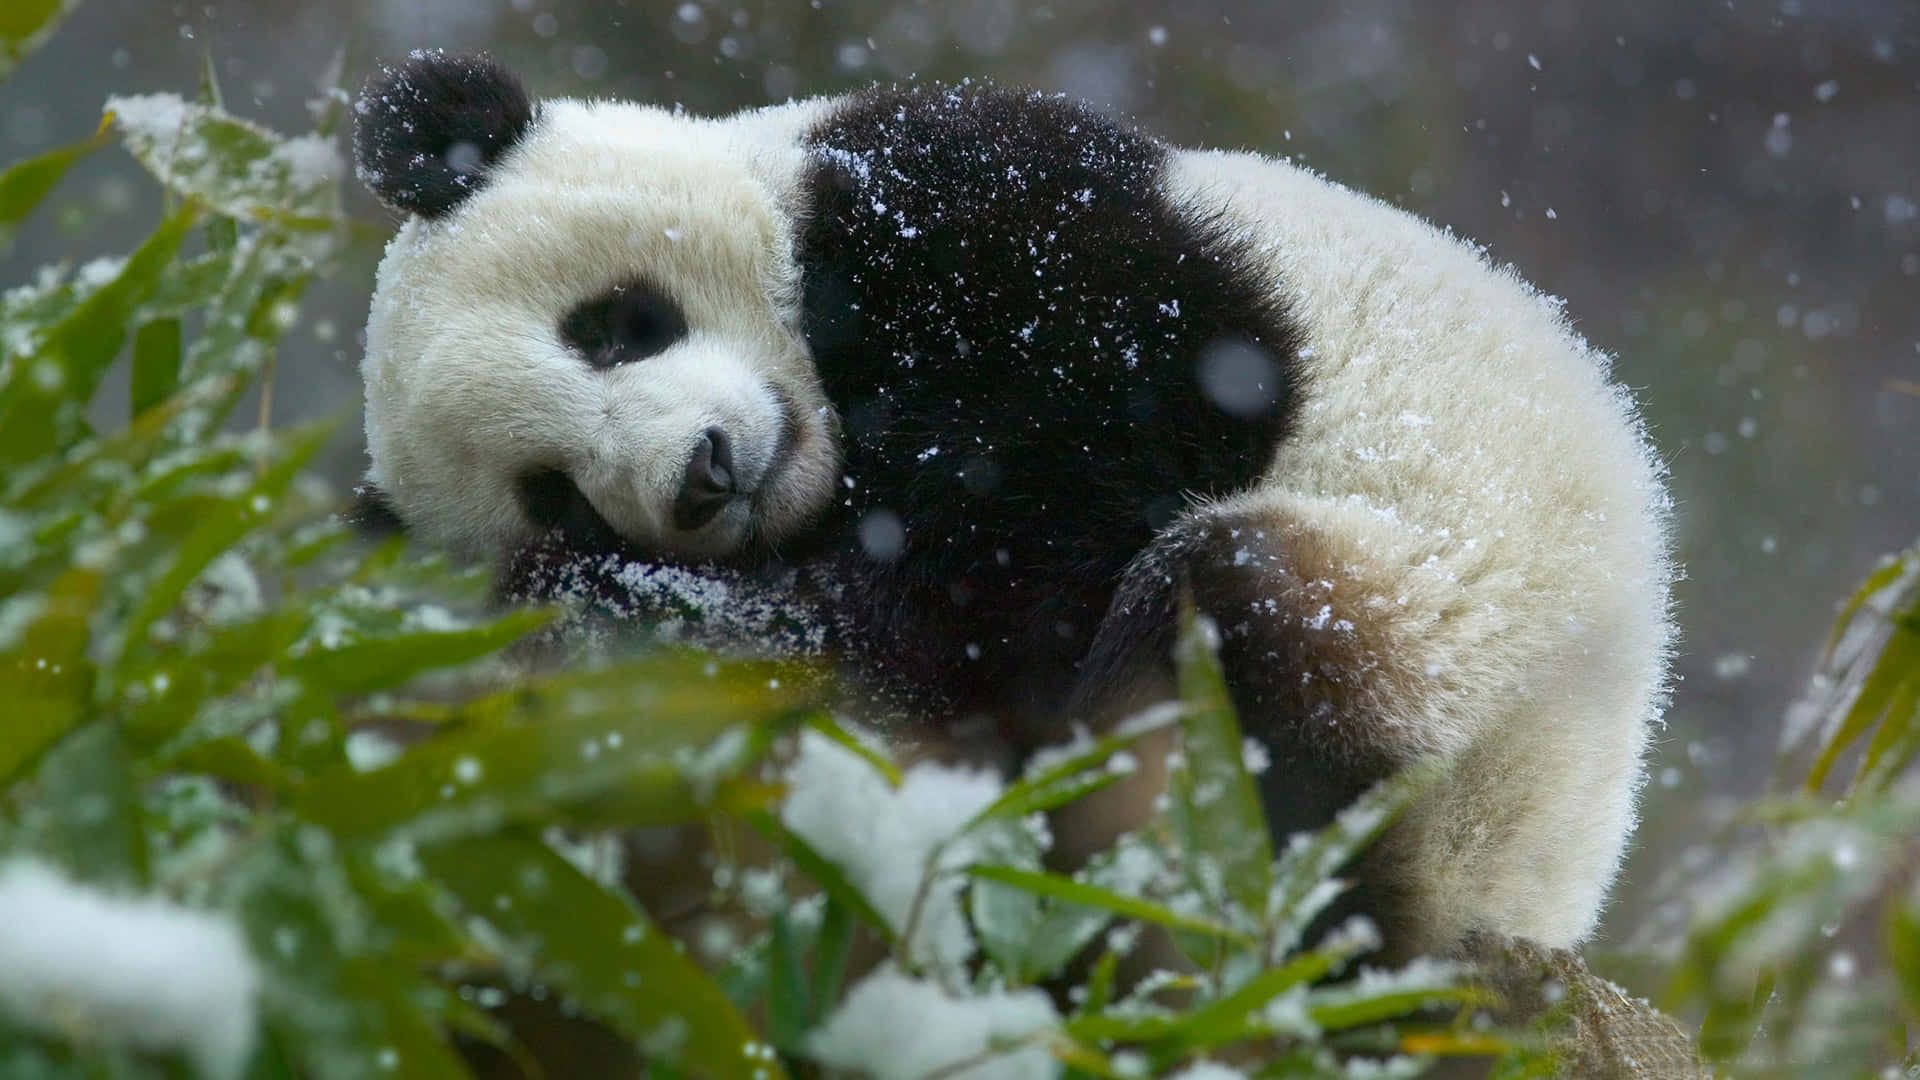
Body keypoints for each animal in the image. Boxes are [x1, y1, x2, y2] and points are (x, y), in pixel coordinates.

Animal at [350, 50, 1674, 960]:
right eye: (555, 492)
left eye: (617, 326)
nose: (703, 477)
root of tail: (1524, 885)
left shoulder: (974, 207)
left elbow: (1102, 443)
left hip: (1451, 626)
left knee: (1241, 624)